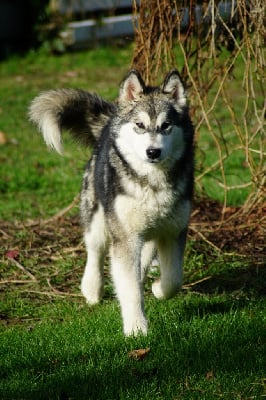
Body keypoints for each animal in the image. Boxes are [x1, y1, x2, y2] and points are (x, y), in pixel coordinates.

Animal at [29, 69, 194, 334]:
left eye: (166, 126)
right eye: (140, 125)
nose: (152, 152)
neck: (153, 184)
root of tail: (109, 123)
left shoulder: (173, 231)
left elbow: (173, 279)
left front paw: (158, 289)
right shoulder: (125, 235)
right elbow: (130, 289)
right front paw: (136, 329)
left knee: (142, 257)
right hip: (99, 219)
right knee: (95, 251)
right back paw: (92, 288)